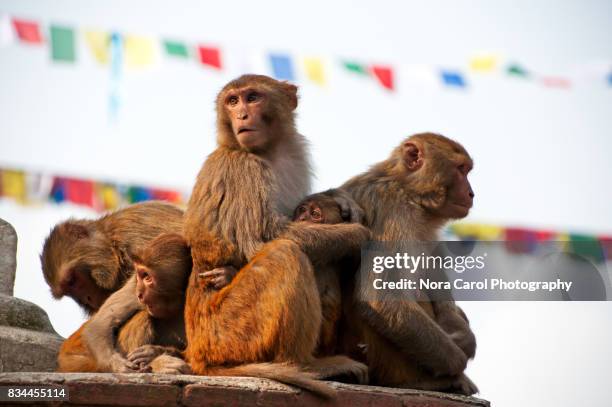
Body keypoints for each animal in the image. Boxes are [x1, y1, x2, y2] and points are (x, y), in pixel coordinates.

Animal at [79, 74, 370, 382]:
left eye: (252, 98)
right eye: (233, 101)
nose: (241, 115)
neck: (268, 152)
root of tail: (198, 354)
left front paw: (339, 198)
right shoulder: (245, 167)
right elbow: (262, 239)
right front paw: (356, 235)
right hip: (229, 333)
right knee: (286, 253)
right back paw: (306, 365)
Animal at [338, 133, 480, 396]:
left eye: (467, 170)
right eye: (460, 169)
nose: (471, 193)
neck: (408, 191)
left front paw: (463, 336)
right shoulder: (392, 211)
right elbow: (381, 297)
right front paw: (458, 362)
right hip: (381, 360)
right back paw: (429, 382)